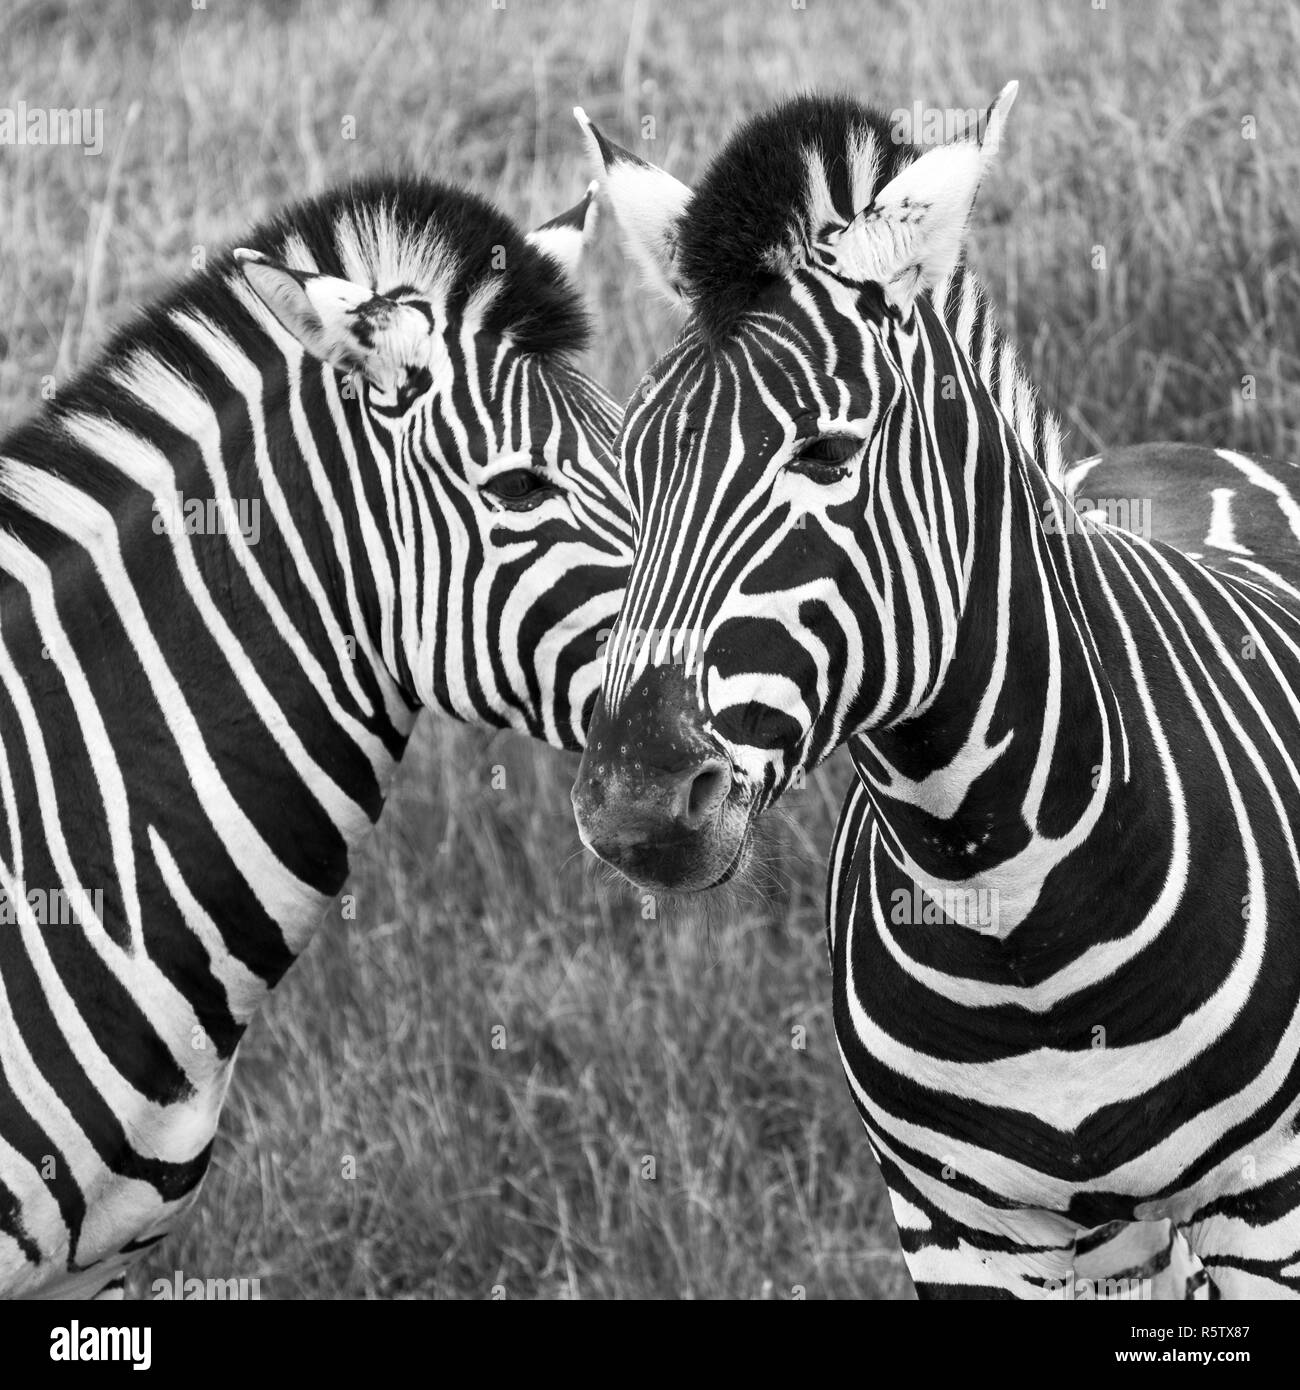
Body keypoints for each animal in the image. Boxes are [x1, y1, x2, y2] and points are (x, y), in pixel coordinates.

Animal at [575, 92, 1300, 1295]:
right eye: (633, 471)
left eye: (826, 454)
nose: (635, 806)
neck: (1009, 908)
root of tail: (1172, 451)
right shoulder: (957, 1228)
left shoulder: (1270, 1199)